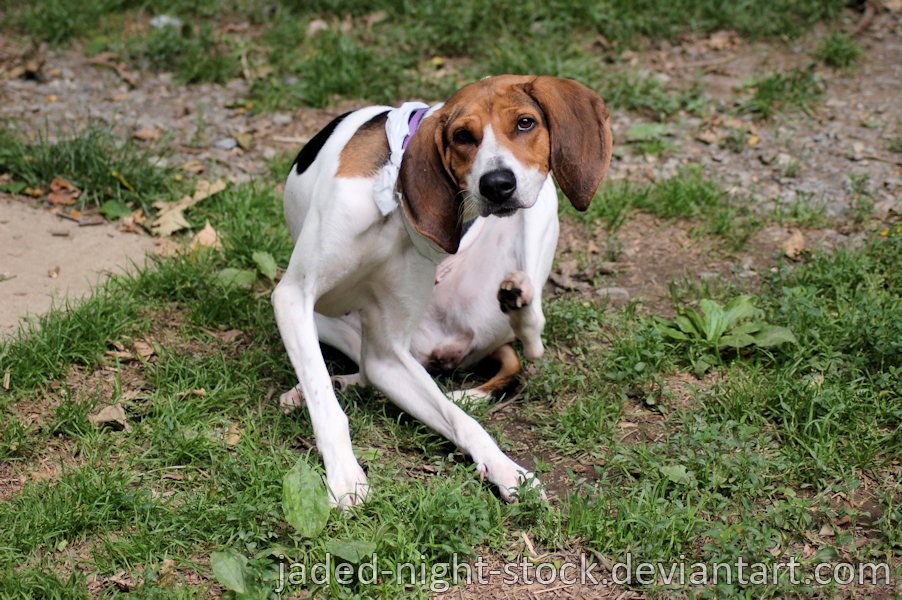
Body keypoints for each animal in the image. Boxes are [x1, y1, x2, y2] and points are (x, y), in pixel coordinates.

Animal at [276, 75, 616, 506]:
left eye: (525, 123)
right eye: (462, 137)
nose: (497, 184)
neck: (396, 205)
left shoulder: (388, 352)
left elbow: (463, 420)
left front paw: (507, 468)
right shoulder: (294, 298)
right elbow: (327, 403)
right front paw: (345, 475)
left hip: (542, 204)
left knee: (533, 336)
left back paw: (518, 298)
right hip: (324, 322)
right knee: (359, 371)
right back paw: (332, 387)